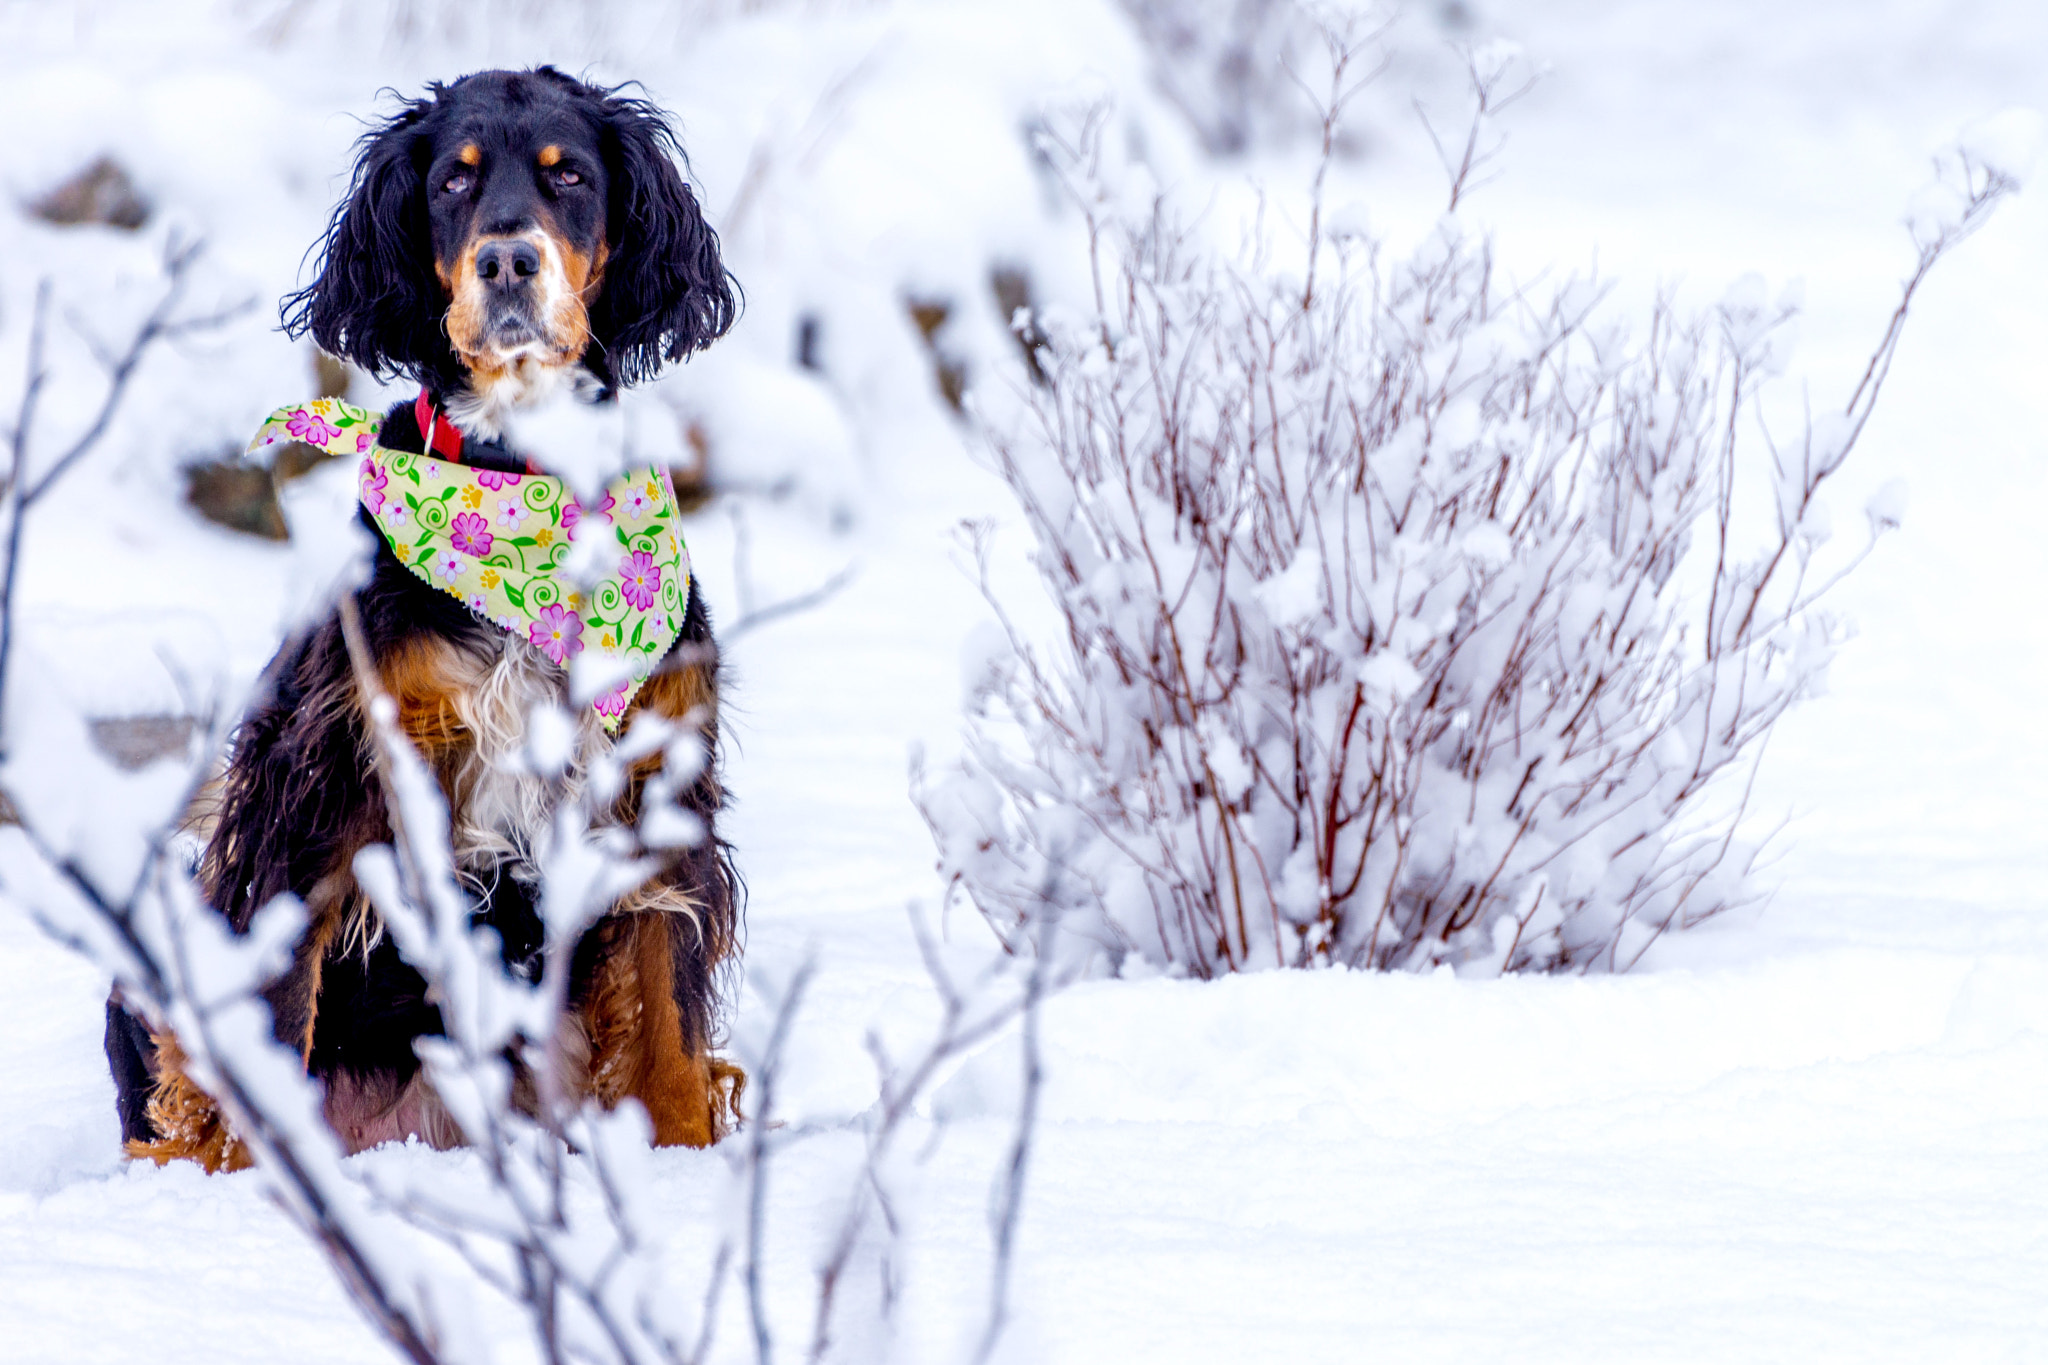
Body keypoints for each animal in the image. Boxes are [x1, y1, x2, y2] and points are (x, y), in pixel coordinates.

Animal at [103, 66, 745, 1178]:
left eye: (568, 175)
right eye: (453, 181)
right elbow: (273, 1006)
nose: (507, 258)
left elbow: (667, 1019)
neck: (520, 481)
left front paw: (686, 1167)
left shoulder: (657, 779)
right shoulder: (324, 774)